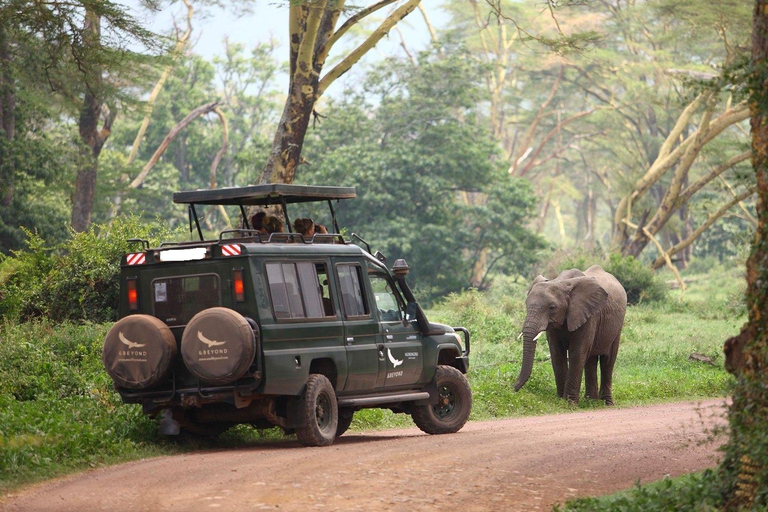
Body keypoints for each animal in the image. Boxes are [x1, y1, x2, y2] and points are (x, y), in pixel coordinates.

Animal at [512, 264, 628, 404]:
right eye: (526, 305)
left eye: (552, 308)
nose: (513, 389)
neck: (561, 282)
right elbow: (557, 353)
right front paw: (560, 400)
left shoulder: (588, 316)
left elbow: (577, 353)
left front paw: (570, 403)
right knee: (591, 359)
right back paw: (591, 401)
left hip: (617, 325)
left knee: (608, 360)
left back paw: (606, 403)